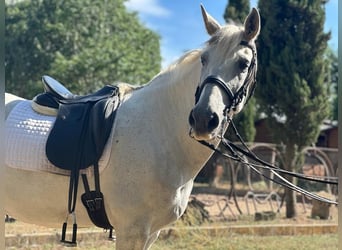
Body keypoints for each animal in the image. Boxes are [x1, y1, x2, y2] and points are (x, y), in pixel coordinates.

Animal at [4, 5, 260, 250]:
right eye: (204, 59)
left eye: (243, 63)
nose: (203, 119)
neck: (160, 131)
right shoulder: (131, 231)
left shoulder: (151, 233)